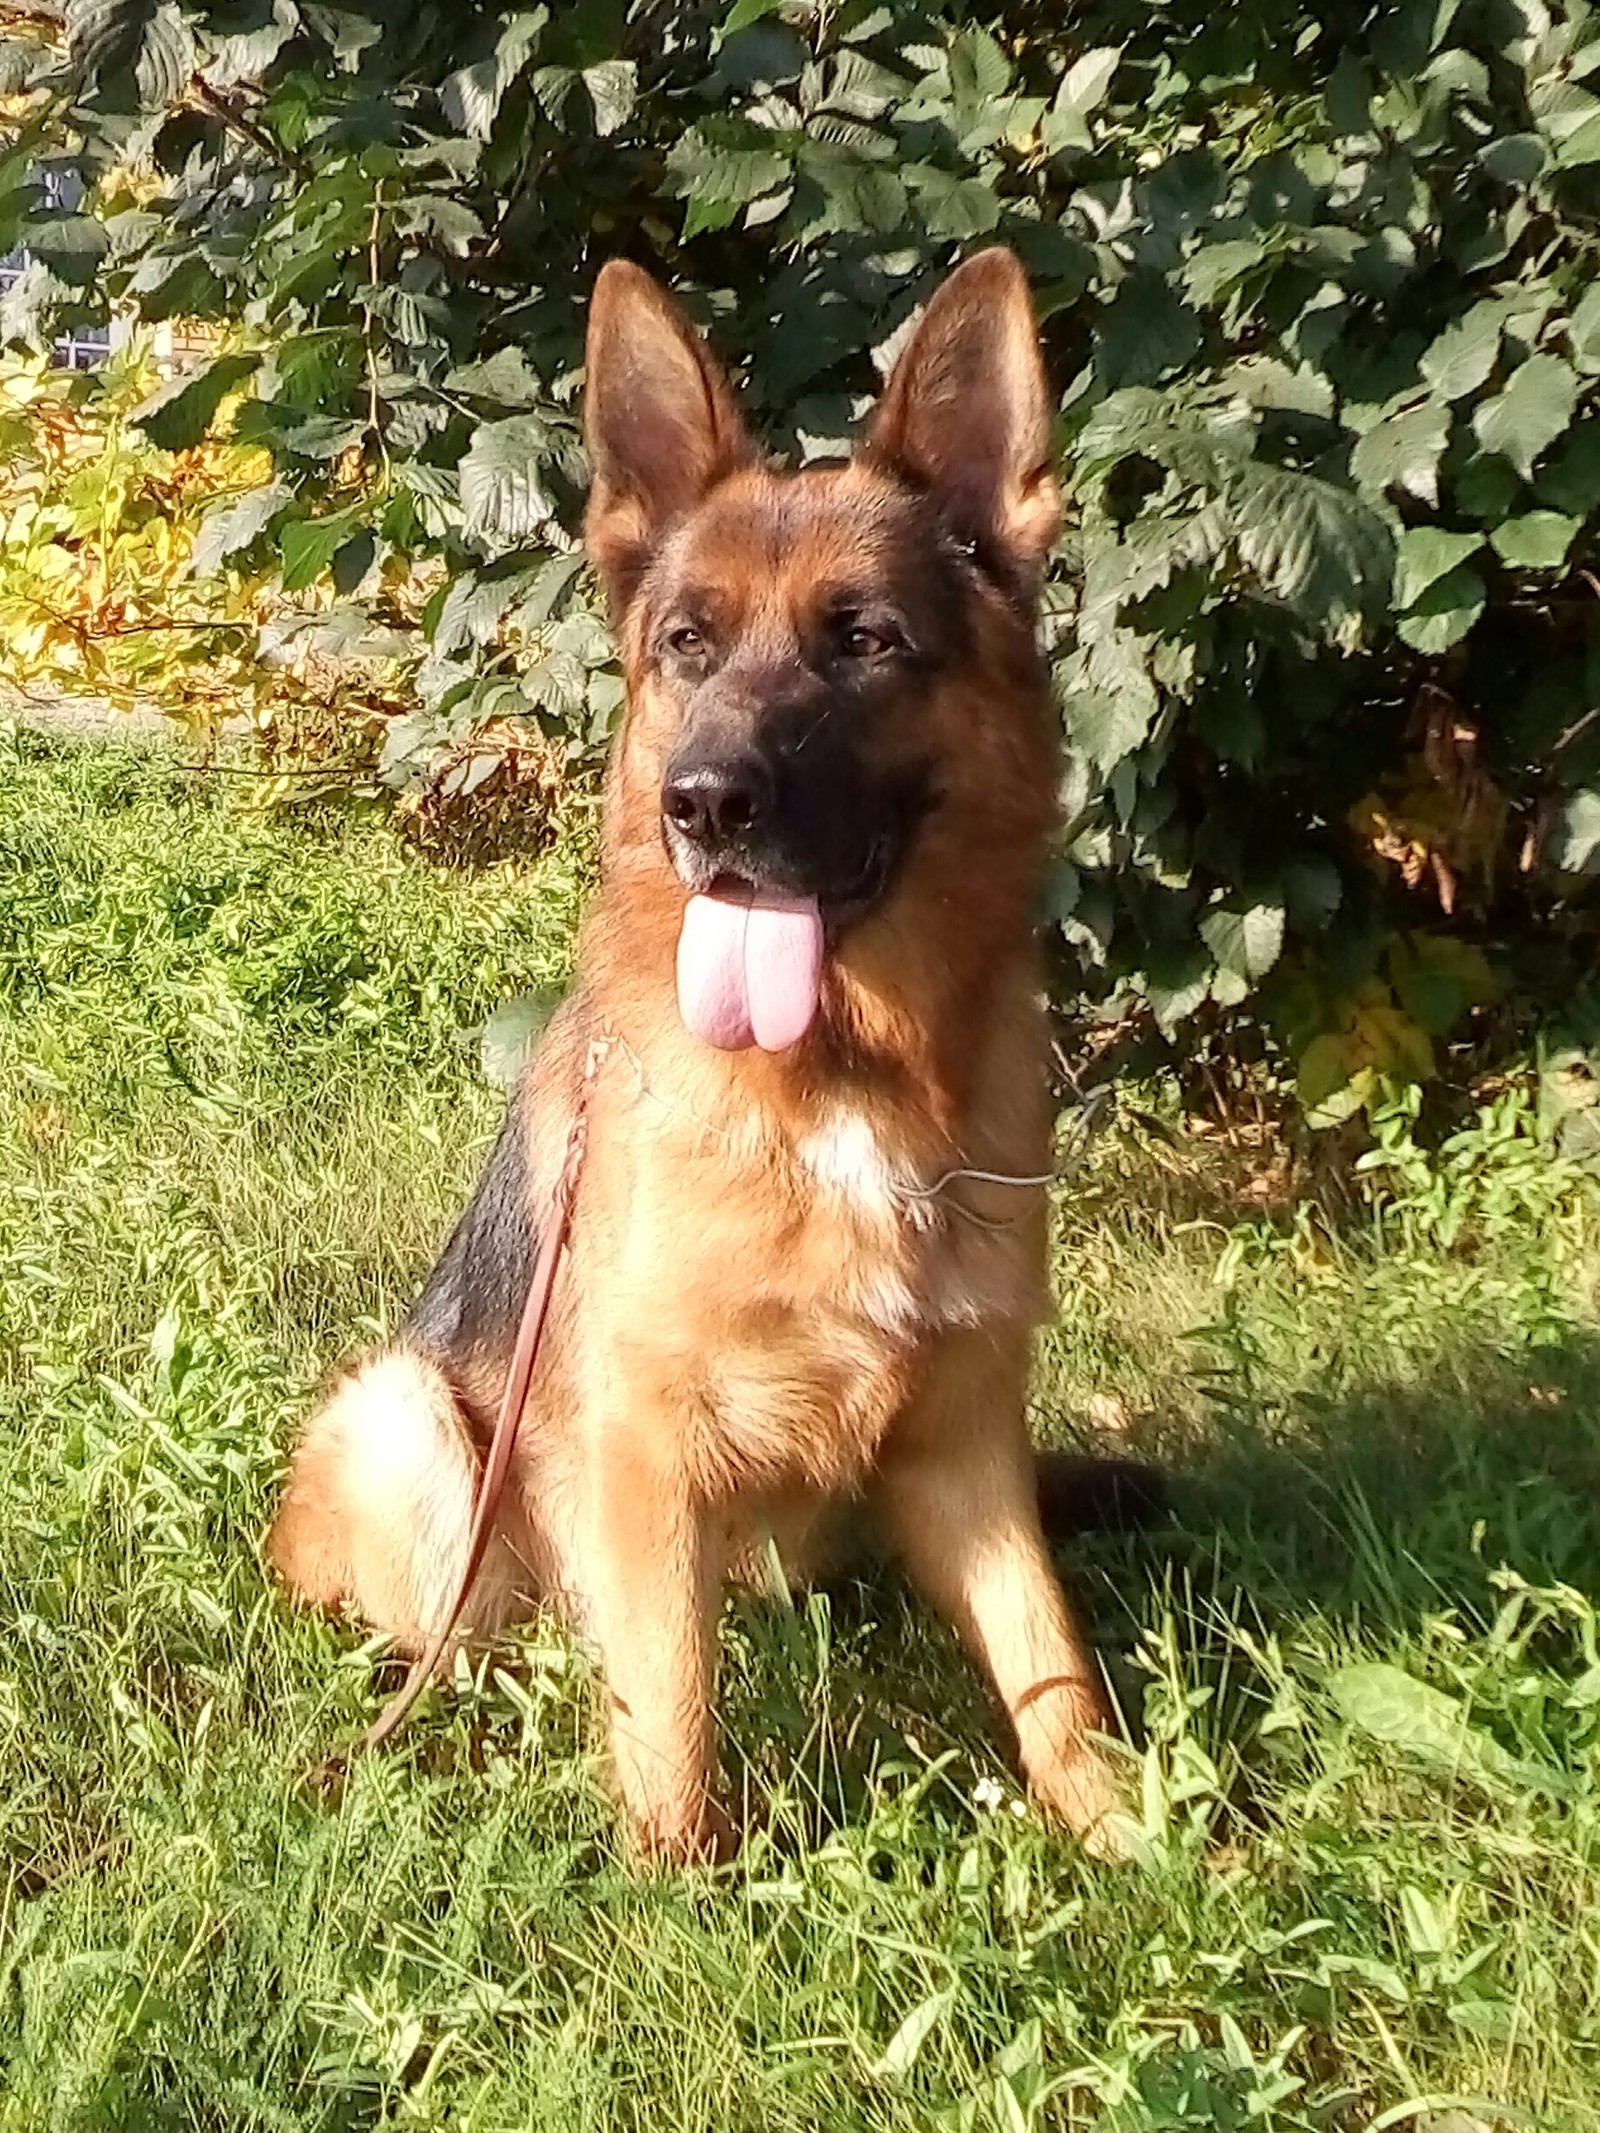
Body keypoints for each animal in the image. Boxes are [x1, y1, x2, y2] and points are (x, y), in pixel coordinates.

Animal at [269, 249, 1160, 1868]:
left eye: (864, 639)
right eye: (685, 642)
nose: (705, 806)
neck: (843, 1084)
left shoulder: (965, 1441)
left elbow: (1048, 1657)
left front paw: (1127, 1827)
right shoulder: (644, 1443)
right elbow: (674, 1701)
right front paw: (674, 1882)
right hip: (411, 1427)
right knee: (484, 1634)